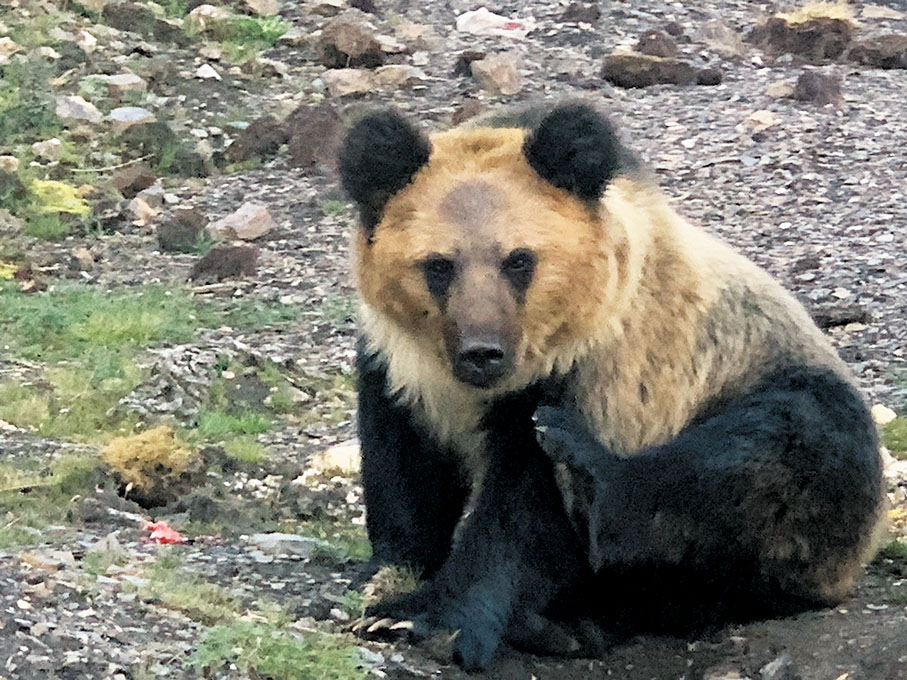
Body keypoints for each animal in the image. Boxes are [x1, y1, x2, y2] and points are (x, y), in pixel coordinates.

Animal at [337, 102, 885, 671]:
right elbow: (405, 472)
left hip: (778, 412)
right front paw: (386, 577)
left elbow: (524, 512)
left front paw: (425, 616)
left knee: (777, 453)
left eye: (519, 260)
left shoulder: (594, 371)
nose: (482, 352)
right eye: (438, 265)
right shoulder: (398, 371)